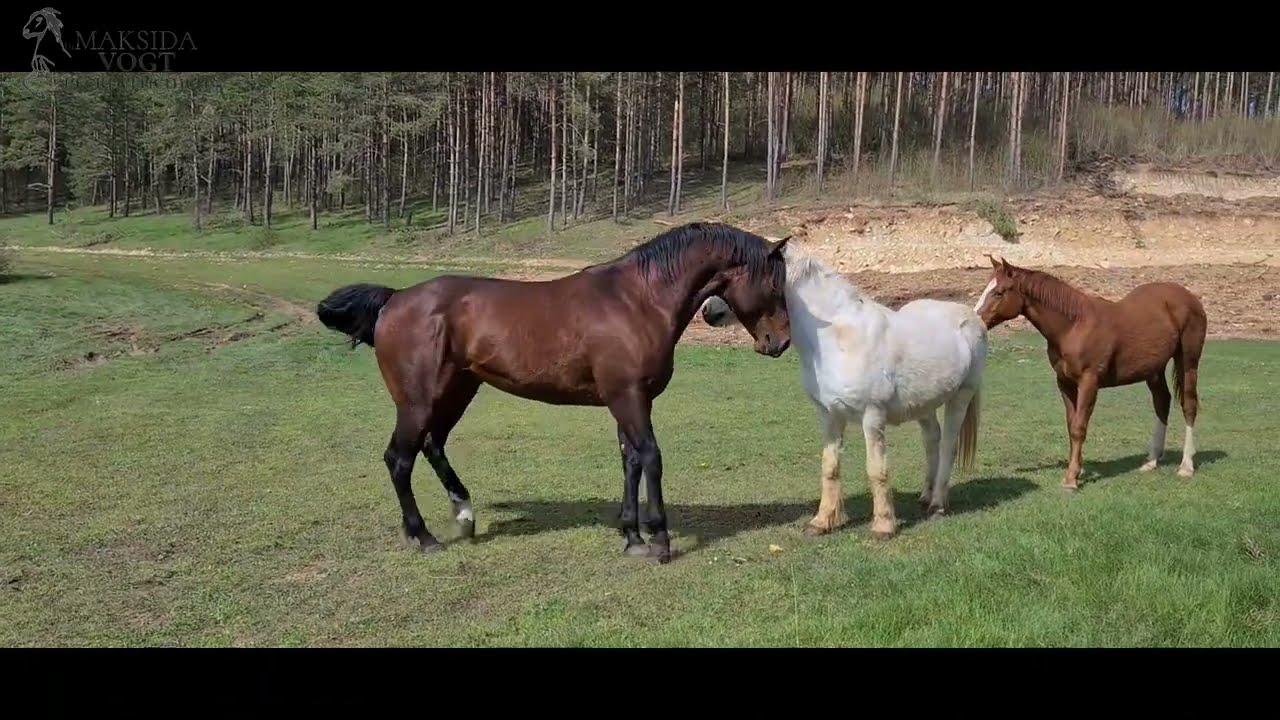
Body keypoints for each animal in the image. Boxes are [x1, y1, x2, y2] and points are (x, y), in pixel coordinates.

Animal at [316, 222, 792, 565]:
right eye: (774, 285)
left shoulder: (627, 401)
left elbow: (631, 462)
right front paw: (658, 540)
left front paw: (632, 536)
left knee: (432, 446)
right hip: (418, 401)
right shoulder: (630, 398)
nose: (780, 342)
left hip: (457, 390)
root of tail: (394, 299)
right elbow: (651, 458)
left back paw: (463, 515)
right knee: (399, 458)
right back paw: (424, 536)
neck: (637, 300)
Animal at [701, 242, 986, 539]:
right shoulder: (829, 414)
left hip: (961, 397)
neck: (836, 337)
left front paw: (883, 526)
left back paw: (938, 504)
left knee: (948, 445)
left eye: (735, 274)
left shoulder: (872, 416)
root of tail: (972, 317)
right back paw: (925, 497)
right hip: (923, 405)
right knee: (932, 440)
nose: (707, 311)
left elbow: (877, 470)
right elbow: (830, 466)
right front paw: (822, 522)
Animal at [972, 255, 1207, 491]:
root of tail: (1190, 298)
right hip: (1154, 369)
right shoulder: (1065, 383)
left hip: (1188, 361)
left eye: (999, 292)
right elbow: (1071, 425)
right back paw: (1151, 461)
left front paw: (1071, 479)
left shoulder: (1089, 382)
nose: (976, 321)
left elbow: (1079, 427)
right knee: (1161, 402)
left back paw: (1186, 466)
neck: (1074, 326)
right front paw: (1076, 470)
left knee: (1188, 404)